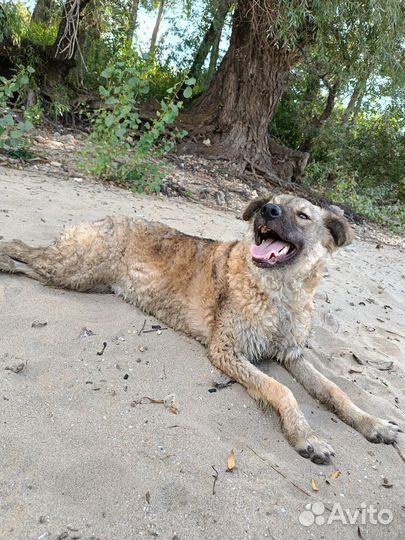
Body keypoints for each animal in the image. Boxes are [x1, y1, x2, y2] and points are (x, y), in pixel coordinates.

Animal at [0, 194, 400, 464]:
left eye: (302, 215)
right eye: (272, 203)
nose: (266, 211)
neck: (279, 294)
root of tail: (103, 218)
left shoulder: (292, 355)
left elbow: (334, 390)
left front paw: (371, 423)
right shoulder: (228, 351)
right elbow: (282, 390)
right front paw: (306, 435)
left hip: (87, 278)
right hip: (74, 270)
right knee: (22, 251)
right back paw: (6, 260)